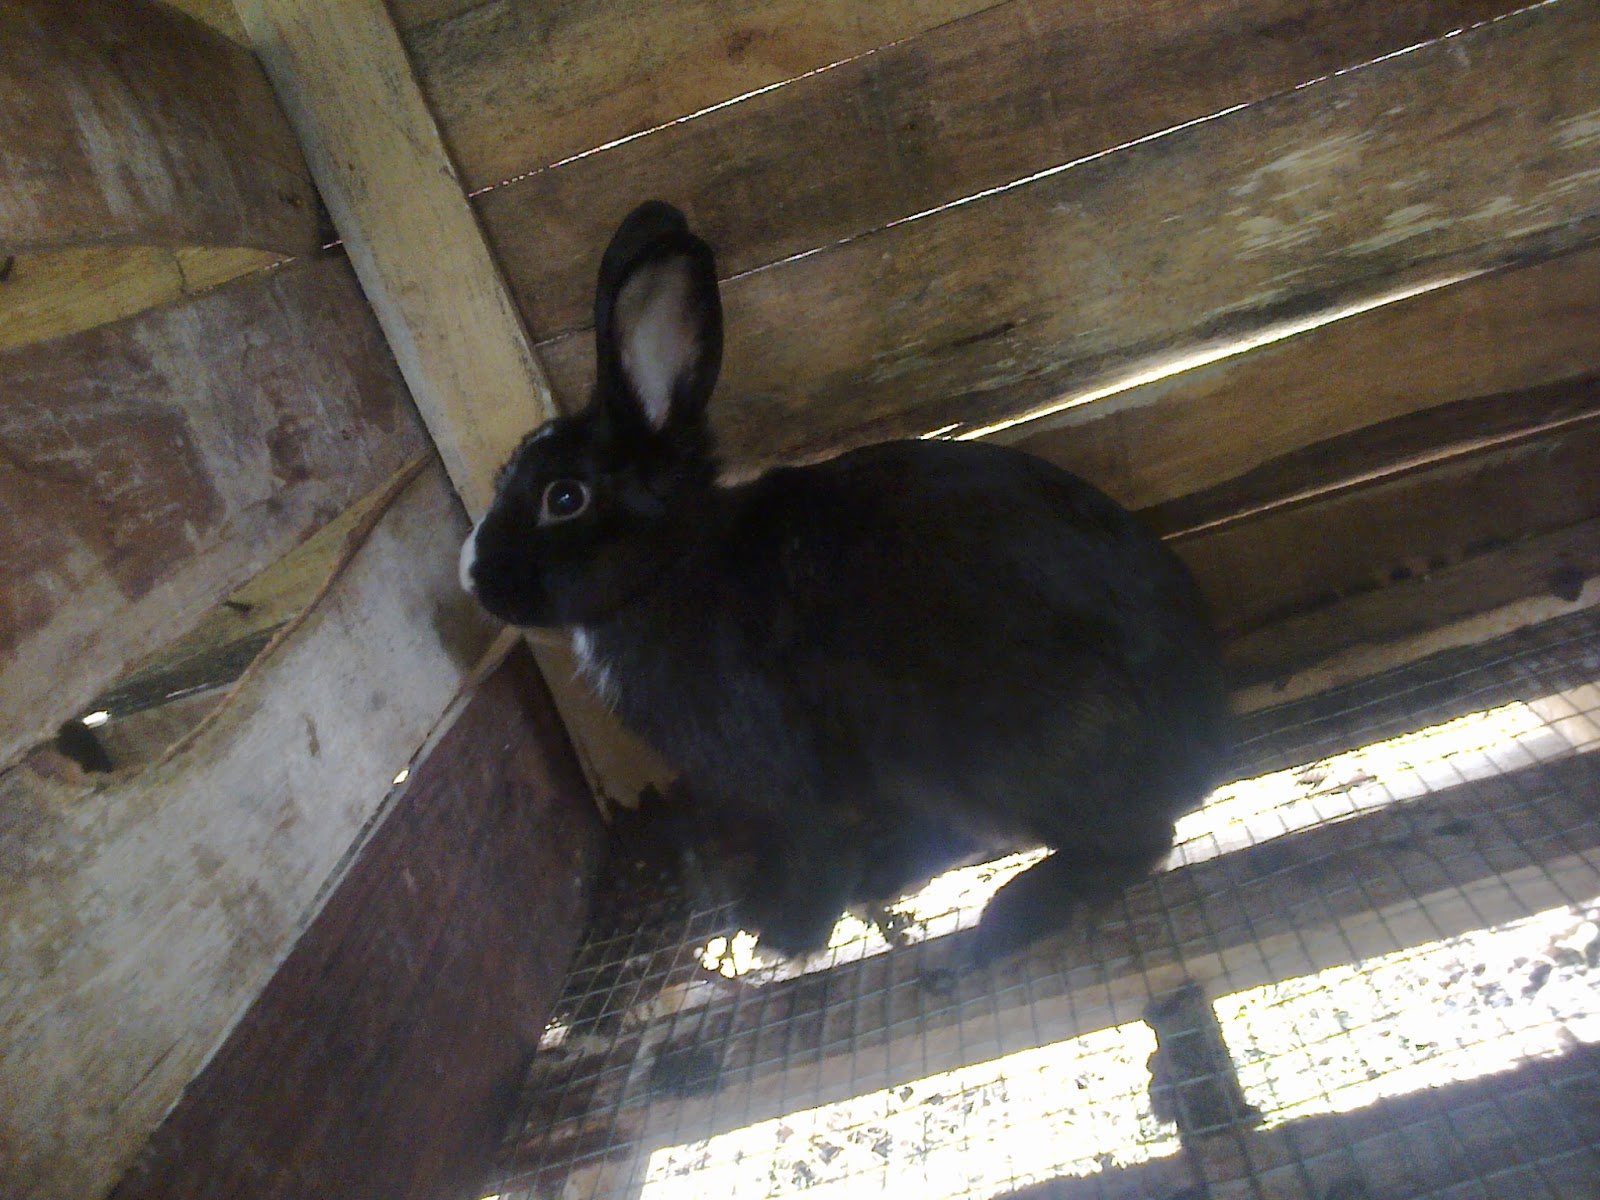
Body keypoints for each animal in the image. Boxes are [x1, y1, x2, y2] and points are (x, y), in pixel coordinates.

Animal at [460, 201, 1232, 965]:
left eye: (564, 497)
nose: (470, 575)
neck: (673, 563)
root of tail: (1201, 750)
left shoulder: (783, 775)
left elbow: (812, 845)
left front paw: (783, 936)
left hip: (1001, 749)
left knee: (1134, 839)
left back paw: (1007, 918)